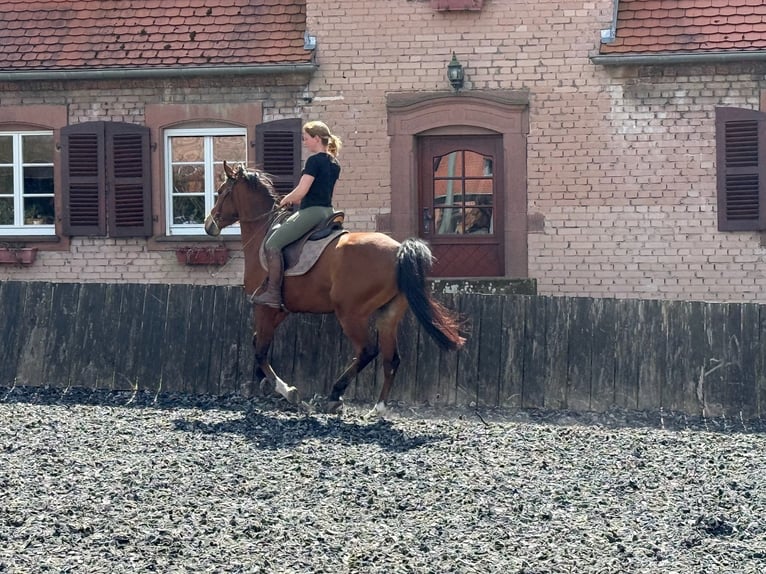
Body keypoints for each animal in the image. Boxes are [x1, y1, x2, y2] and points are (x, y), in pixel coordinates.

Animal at [204, 161, 464, 417]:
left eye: (221, 192)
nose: (208, 225)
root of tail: (398, 249)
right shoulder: (280, 309)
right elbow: (257, 342)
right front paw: (264, 382)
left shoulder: (264, 306)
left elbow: (260, 349)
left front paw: (287, 391)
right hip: (388, 314)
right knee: (391, 359)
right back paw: (378, 408)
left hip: (350, 314)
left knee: (368, 350)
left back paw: (335, 394)